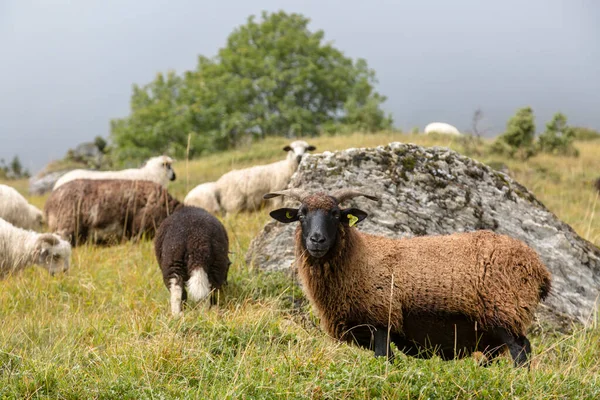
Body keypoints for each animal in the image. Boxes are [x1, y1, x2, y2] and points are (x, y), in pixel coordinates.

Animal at [264, 189, 552, 368]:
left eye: (336, 214)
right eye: (301, 215)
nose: (317, 240)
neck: (359, 257)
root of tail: (538, 268)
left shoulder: (381, 317)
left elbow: (383, 359)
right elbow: (388, 359)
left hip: (504, 309)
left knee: (521, 350)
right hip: (493, 324)